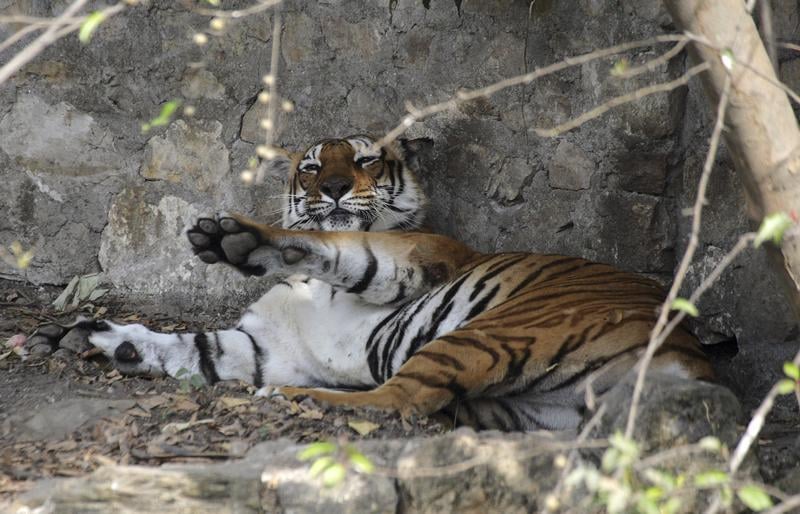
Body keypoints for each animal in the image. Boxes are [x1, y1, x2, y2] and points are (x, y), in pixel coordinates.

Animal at [29, 134, 713, 431]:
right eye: (310, 166)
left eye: (362, 160)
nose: (331, 187)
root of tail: (693, 357)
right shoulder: (264, 345)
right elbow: (186, 346)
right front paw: (93, 338)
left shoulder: (413, 256)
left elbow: (342, 251)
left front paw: (236, 240)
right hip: (537, 410)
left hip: (497, 328)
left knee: (399, 398)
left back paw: (296, 398)